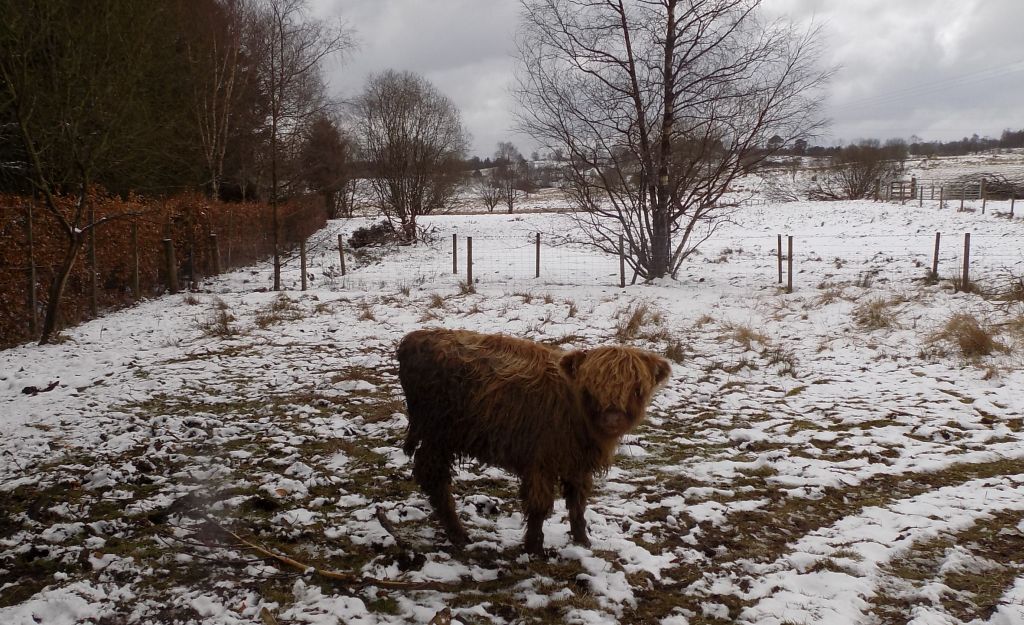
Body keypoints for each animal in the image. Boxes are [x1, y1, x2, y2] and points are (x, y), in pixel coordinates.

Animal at [393, 327, 671, 553]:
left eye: (637, 389)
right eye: (591, 387)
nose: (612, 418)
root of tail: (414, 337)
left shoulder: (577, 463)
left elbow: (578, 503)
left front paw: (582, 541)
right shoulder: (541, 461)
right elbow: (539, 506)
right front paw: (534, 548)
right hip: (437, 435)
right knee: (434, 477)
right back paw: (458, 533)